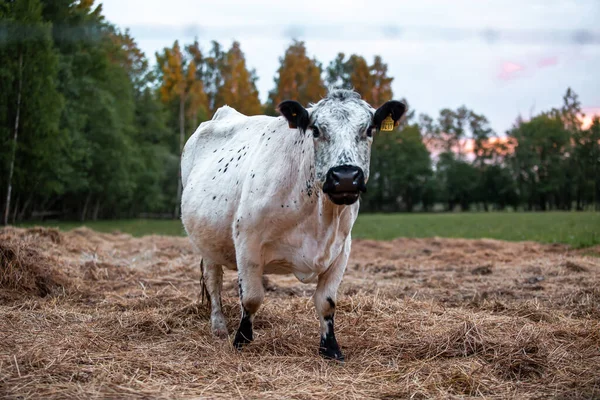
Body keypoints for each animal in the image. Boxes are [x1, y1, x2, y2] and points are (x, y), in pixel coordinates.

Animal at [182, 89, 408, 360]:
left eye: (369, 130)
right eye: (316, 130)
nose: (345, 177)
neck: (319, 217)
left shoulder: (342, 250)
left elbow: (327, 302)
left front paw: (330, 348)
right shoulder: (247, 241)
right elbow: (251, 298)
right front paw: (242, 341)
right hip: (208, 244)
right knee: (213, 281)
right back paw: (218, 326)